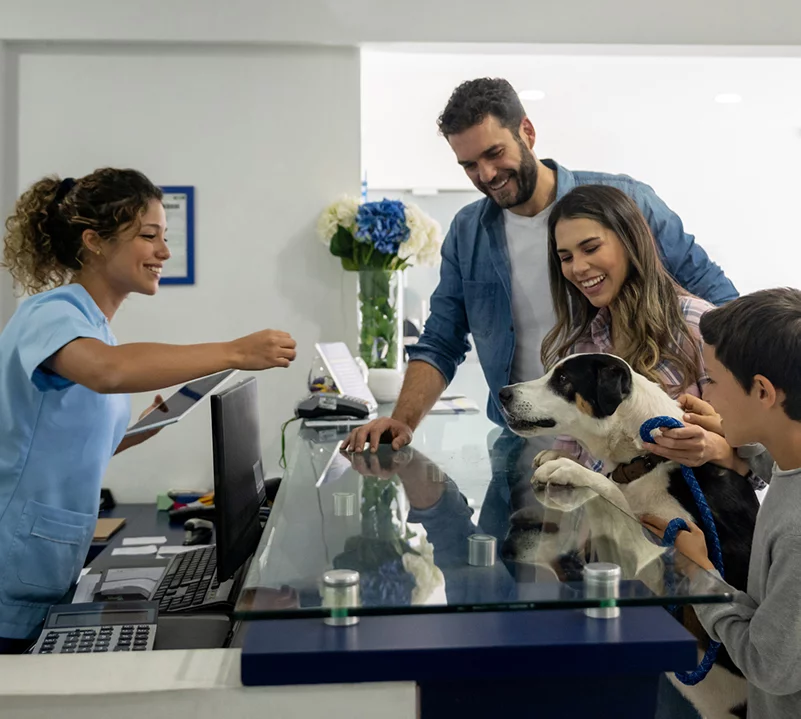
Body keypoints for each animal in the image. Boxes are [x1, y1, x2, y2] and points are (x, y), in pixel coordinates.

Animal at [500, 354, 756, 719]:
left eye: (563, 379)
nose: (503, 393)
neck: (649, 458)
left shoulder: (660, 563)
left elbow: (610, 491)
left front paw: (569, 468)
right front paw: (557, 457)